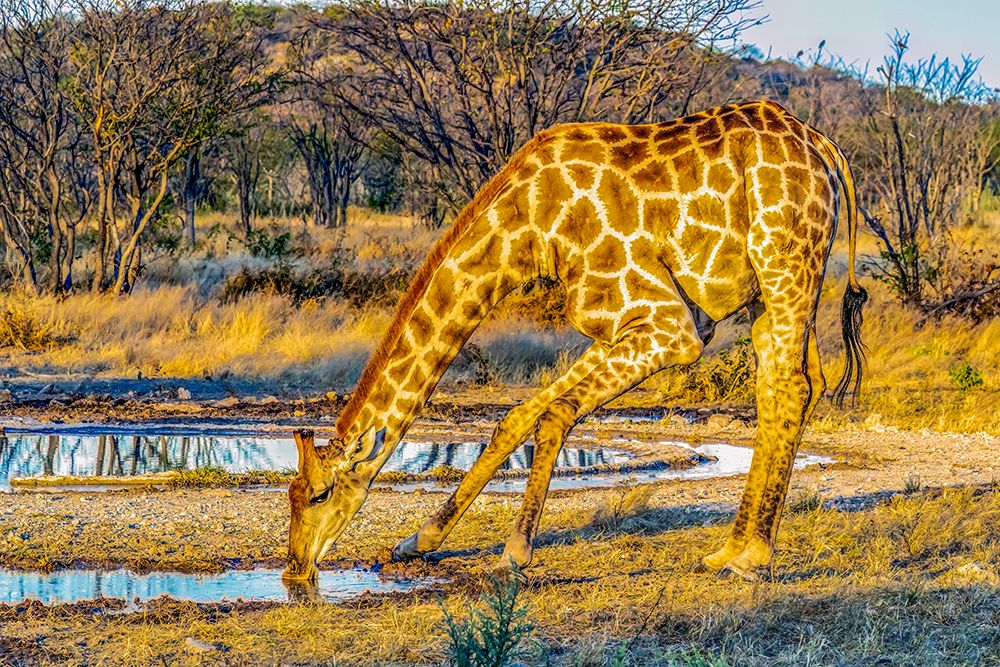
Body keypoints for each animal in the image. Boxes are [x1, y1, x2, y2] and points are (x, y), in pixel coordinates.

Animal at [284, 100, 867, 582]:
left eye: (319, 494)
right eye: (290, 493)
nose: (295, 567)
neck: (527, 228)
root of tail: (824, 147)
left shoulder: (670, 326)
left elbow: (555, 413)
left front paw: (513, 554)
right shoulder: (616, 325)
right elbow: (519, 416)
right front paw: (418, 540)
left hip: (784, 262)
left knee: (792, 387)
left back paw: (752, 557)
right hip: (772, 291)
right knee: (789, 387)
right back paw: (728, 549)